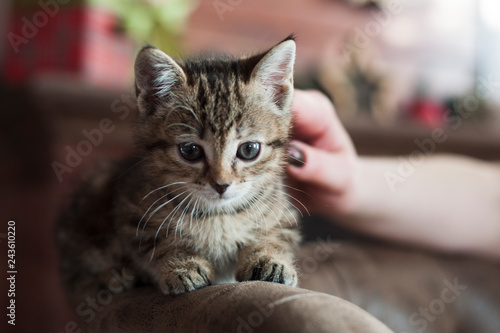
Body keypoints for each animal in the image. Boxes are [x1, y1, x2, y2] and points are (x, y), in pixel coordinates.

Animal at [57, 37, 300, 300]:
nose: (221, 185)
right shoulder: (133, 211)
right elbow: (159, 242)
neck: (218, 215)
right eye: (190, 150)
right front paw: (182, 265)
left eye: (249, 150)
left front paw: (269, 259)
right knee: (75, 274)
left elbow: (276, 235)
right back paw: (104, 281)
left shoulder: (281, 211)